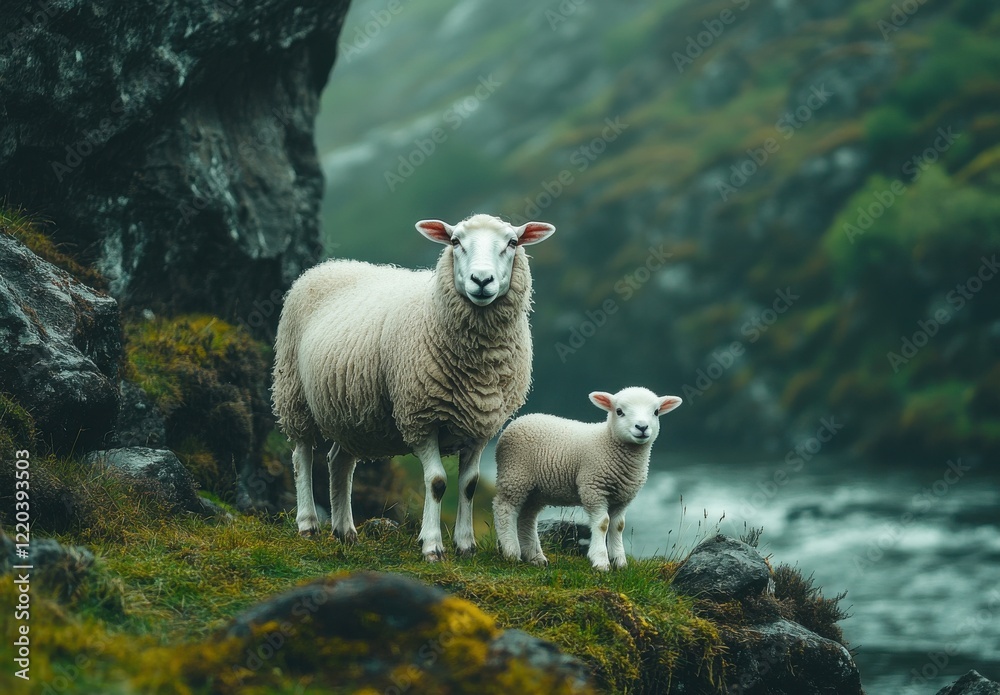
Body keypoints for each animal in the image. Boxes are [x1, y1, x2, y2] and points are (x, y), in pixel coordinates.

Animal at [271, 214, 555, 561]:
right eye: (455, 241)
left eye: (512, 243)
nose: (481, 280)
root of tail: (330, 265)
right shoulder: (420, 417)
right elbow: (436, 482)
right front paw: (432, 545)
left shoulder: (480, 426)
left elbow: (469, 484)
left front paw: (465, 545)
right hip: (293, 392)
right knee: (302, 458)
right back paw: (308, 524)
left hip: (350, 413)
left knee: (338, 462)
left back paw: (344, 531)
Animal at [492, 387, 682, 571]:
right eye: (619, 411)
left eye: (656, 412)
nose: (642, 427)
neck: (608, 440)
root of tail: (520, 419)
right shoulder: (593, 488)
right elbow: (603, 524)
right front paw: (601, 562)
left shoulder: (623, 497)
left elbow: (618, 525)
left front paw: (619, 562)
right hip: (515, 475)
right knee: (504, 508)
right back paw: (511, 552)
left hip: (535, 490)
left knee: (527, 517)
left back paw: (535, 557)